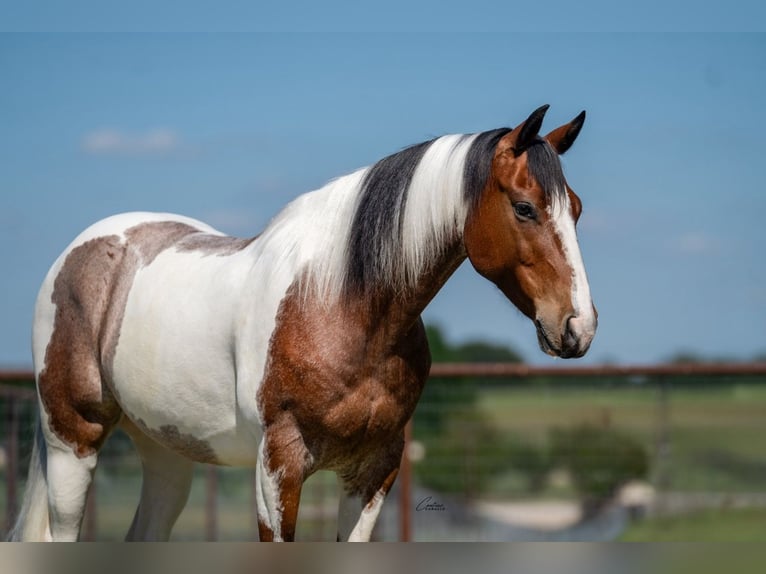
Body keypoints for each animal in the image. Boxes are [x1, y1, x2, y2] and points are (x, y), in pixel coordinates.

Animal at [9, 104, 597, 542]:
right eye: (524, 207)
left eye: (576, 208)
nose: (579, 327)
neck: (341, 306)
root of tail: (81, 251)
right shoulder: (277, 470)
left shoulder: (373, 472)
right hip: (73, 443)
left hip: (165, 452)